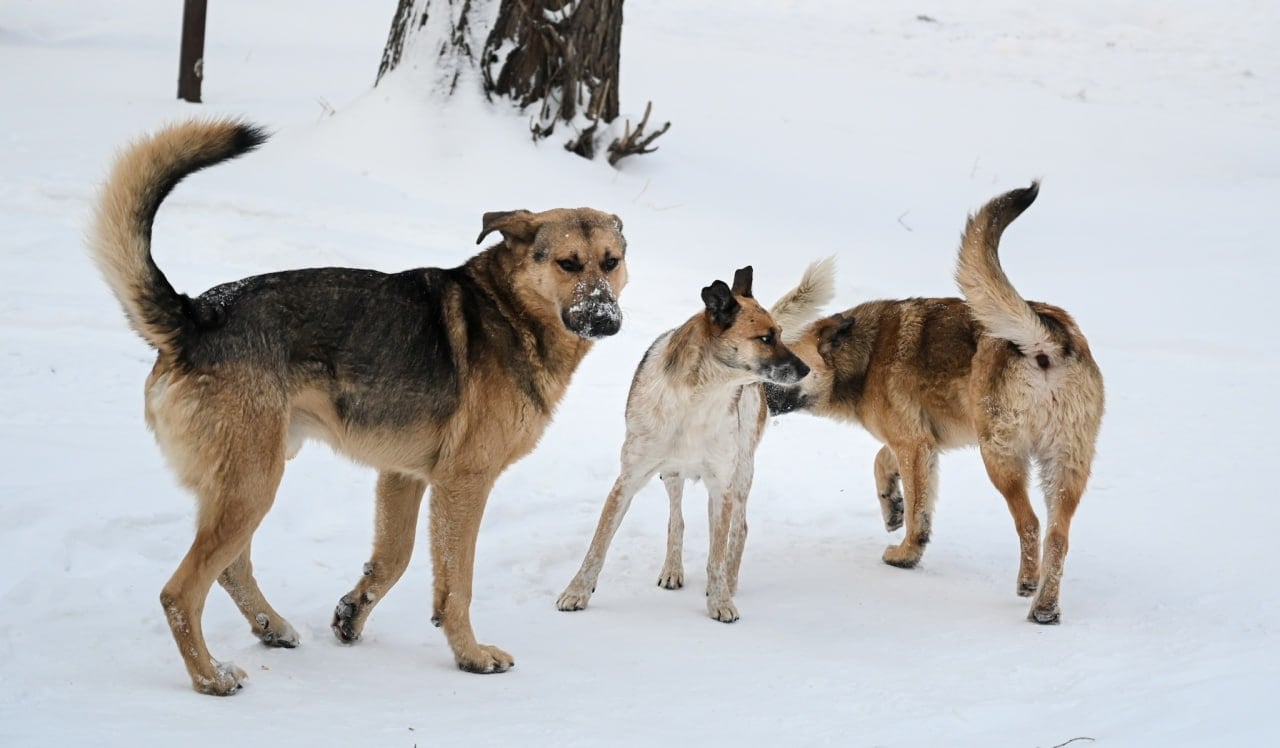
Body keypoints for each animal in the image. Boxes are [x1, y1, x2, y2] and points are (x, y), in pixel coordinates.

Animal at [88, 118, 629, 696]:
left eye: (611, 263)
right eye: (568, 263)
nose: (606, 319)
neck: (509, 310)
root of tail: (195, 317)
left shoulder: (404, 476)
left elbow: (393, 558)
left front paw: (352, 613)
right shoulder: (463, 483)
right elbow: (455, 584)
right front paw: (470, 655)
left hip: (247, 479)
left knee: (230, 569)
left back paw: (271, 628)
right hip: (254, 481)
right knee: (180, 592)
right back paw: (210, 677)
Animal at [555, 260, 834, 622]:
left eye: (780, 335)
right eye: (765, 338)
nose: (805, 370)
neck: (698, 396)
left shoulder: (722, 485)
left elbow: (717, 554)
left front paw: (720, 600)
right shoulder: (628, 479)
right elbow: (598, 545)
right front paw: (577, 591)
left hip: (741, 471)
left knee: (738, 530)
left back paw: (729, 583)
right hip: (671, 474)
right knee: (677, 519)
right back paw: (673, 569)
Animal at [762, 184, 1105, 622]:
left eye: (786, 364)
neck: (865, 356)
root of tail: (1045, 340)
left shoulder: (914, 445)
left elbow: (917, 511)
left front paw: (906, 553)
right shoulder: (921, 443)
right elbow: (882, 461)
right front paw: (891, 505)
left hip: (1001, 458)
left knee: (1029, 523)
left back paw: (1028, 585)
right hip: (1065, 466)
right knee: (1058, 537)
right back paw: (1044, 608)